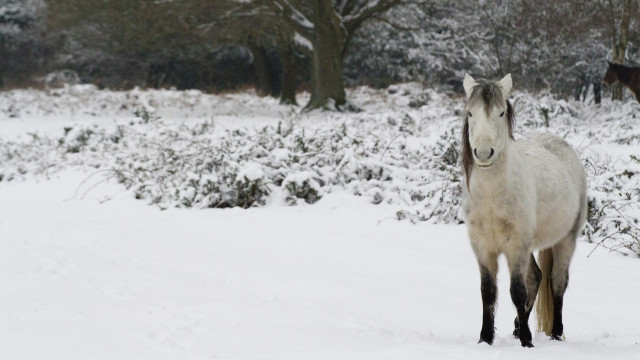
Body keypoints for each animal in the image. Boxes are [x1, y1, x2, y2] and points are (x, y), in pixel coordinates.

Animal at [460, 74, 584, 348]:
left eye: (501, 113)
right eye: (470, 113)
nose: (483, 153)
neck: (493, 198)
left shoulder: (516, 245)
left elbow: (517, 290)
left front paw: (527, 341)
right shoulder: (481, 246)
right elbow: (488, 291)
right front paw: (485, 338)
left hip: (566, 240)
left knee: (557, 282)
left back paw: (555, 333)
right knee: (536, 278)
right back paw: (518, 328)